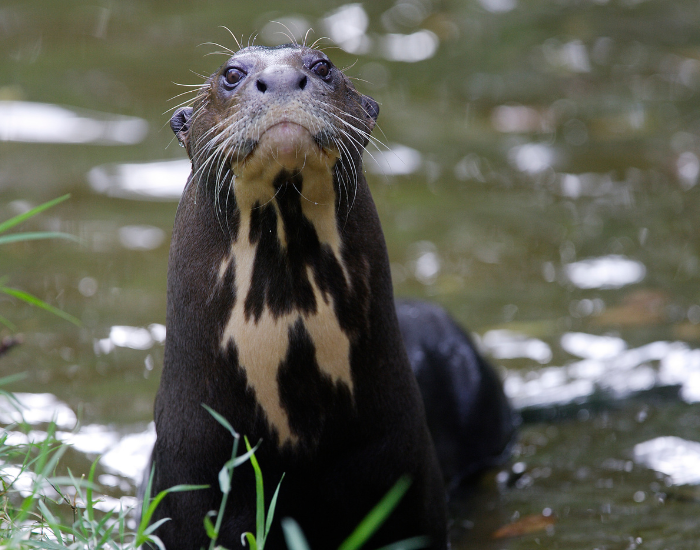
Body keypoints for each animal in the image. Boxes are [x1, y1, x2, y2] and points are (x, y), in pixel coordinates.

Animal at [149, 43, 515, 550]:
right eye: (232, 73)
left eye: (322, 65)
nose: (282, 79)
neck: (295, 431)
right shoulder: (192, 479)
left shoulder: (399, 465)